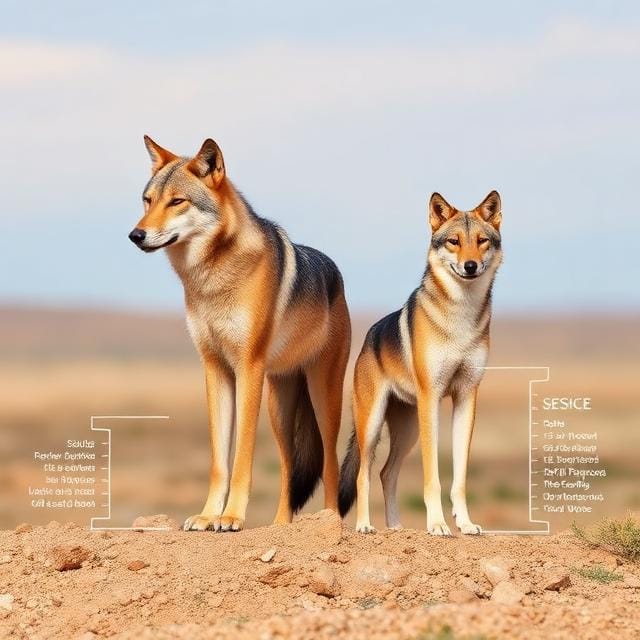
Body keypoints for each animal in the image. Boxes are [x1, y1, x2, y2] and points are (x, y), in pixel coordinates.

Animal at [129, 136, 351, 531]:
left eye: (177, 201)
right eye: (148, 200)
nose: (135, 234)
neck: (210, 280)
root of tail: (335, 274)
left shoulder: (249, 368)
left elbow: (243, 457)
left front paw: (231, 517)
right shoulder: (215, 368)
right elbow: (220, 460)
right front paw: (208, 515)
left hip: (324, 399)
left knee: (330, 466)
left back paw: (329, 522)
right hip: (280, 409)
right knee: (289, 469)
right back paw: (280, 526)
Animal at [338, 191, 503, 535]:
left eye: (481, 241)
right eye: (454, 241)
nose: (470, 266)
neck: (460, 319)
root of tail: (369, 339)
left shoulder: (467, 396)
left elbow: (460, 479)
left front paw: (465, 524)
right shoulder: (432, 398)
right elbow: (433, 479)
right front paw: (437, 525)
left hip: (408, 430)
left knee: (387, 473)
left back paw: (396, 528)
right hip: (372, 426)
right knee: (364, 474)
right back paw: (365, 526)